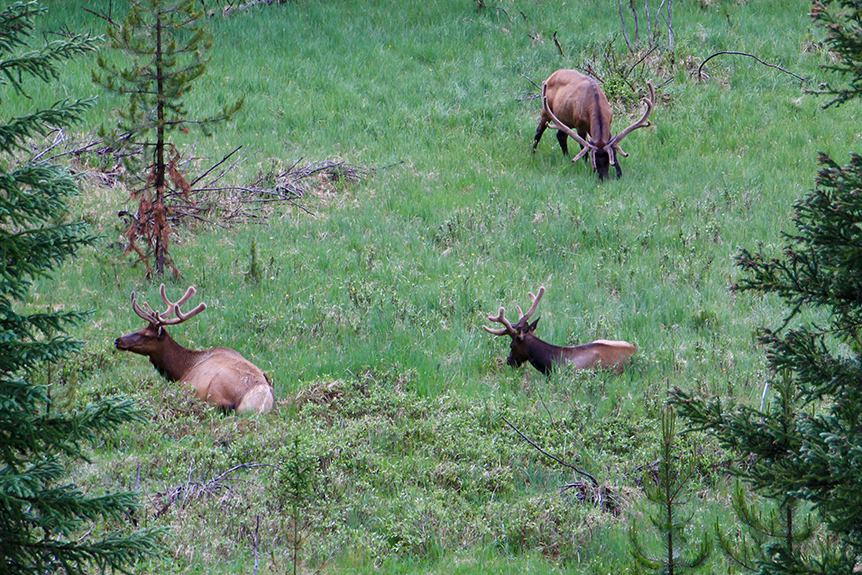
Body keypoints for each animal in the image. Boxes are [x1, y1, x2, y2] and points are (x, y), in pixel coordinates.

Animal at [112, 284, 274, 414]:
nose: (118, 340)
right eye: (140, 328)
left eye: (145, 335)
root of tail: (260, 400)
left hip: (218, 387)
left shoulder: (185, 385)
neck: (181, 369)